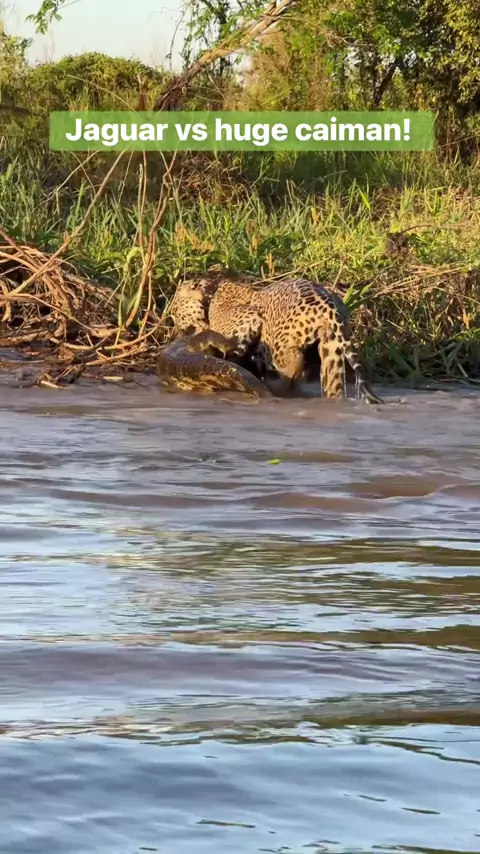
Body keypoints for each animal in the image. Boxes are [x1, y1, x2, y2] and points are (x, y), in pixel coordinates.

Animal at [166, 269, 383, 403]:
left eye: (175, 310)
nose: (178, 331)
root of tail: (328, 305)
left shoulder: (249, 317)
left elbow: (229, 344)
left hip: (280, 343)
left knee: (293, 363)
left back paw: (278, 386)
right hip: (331, 351)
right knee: (331, 385)